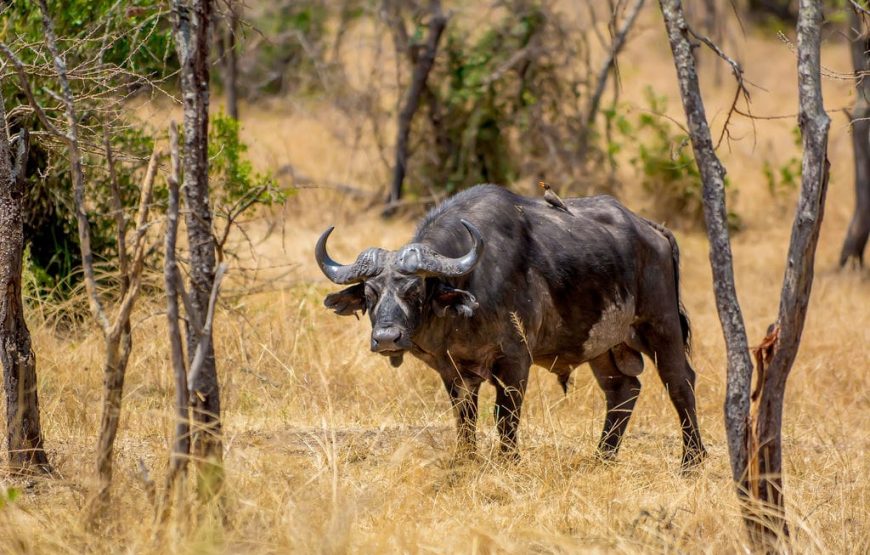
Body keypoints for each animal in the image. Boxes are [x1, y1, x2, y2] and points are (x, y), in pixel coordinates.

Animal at [318, 185, 708, 466]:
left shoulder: (515, 361)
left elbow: (505, 416)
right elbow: (465, 417)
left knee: (680, 383)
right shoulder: (454, 372)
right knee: (623, 391)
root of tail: (654, 231)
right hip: (604, 346)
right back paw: (602, 457)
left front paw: (509, 461)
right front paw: (467, 459)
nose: (387, 338)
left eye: (414, 289)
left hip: (661, 327)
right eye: (370, 293)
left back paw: (692, 461)